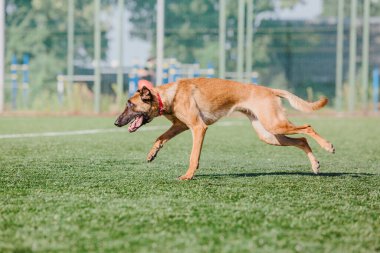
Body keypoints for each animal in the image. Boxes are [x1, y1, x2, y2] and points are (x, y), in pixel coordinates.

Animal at [114, 77, 334, 180]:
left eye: (130, 105)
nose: (116, 123)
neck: (167, 96)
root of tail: (269, 90)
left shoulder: (198, 128)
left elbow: (193, 156)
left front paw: (188, 175)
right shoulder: (180, 126)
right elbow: (159, 137)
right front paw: (152, 153)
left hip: (275, 125)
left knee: (308, 127)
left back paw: (328, 146)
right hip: (270, 134)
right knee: (302, 140)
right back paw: (315, 165)